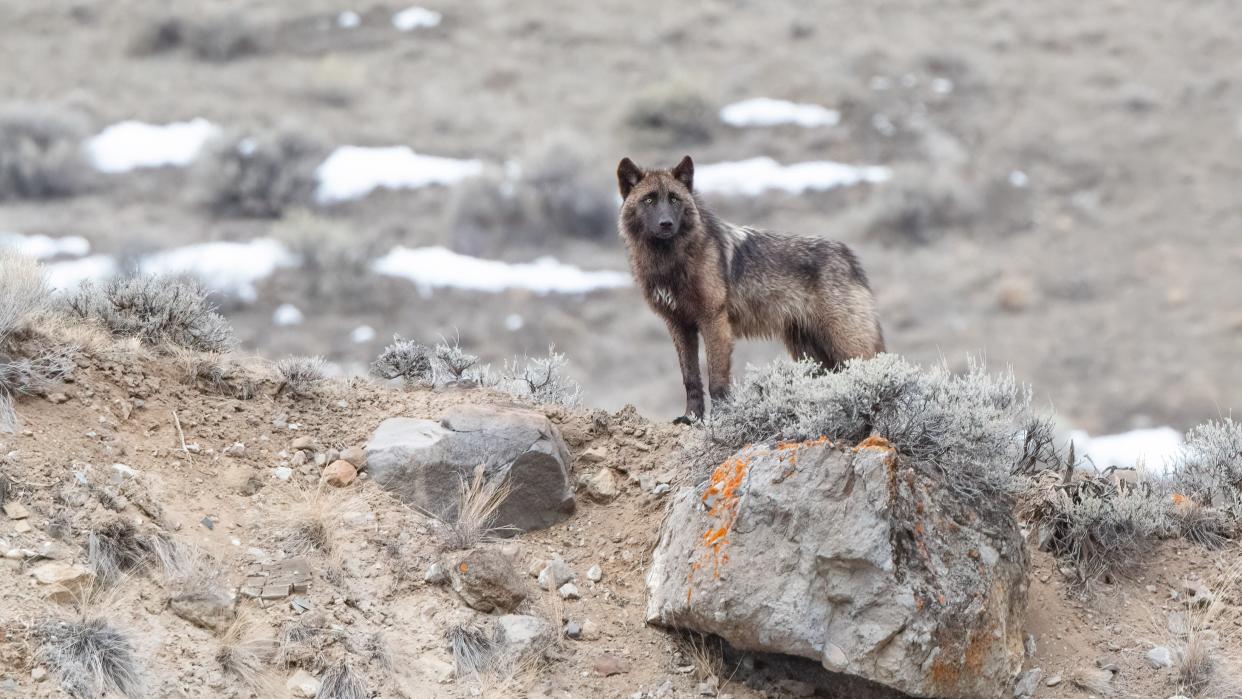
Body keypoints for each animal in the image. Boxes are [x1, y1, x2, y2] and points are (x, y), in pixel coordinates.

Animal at [618, 155, 889, 424]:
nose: (666, 223)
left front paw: (721, 420)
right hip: (809, 351)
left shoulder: (714, 320)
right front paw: (691, 418)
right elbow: (691, 378)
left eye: (674, 198)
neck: (669, 261)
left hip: (846, 344)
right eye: (649, 199)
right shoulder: (678, 325)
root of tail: (849, 256)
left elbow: (717, 380)